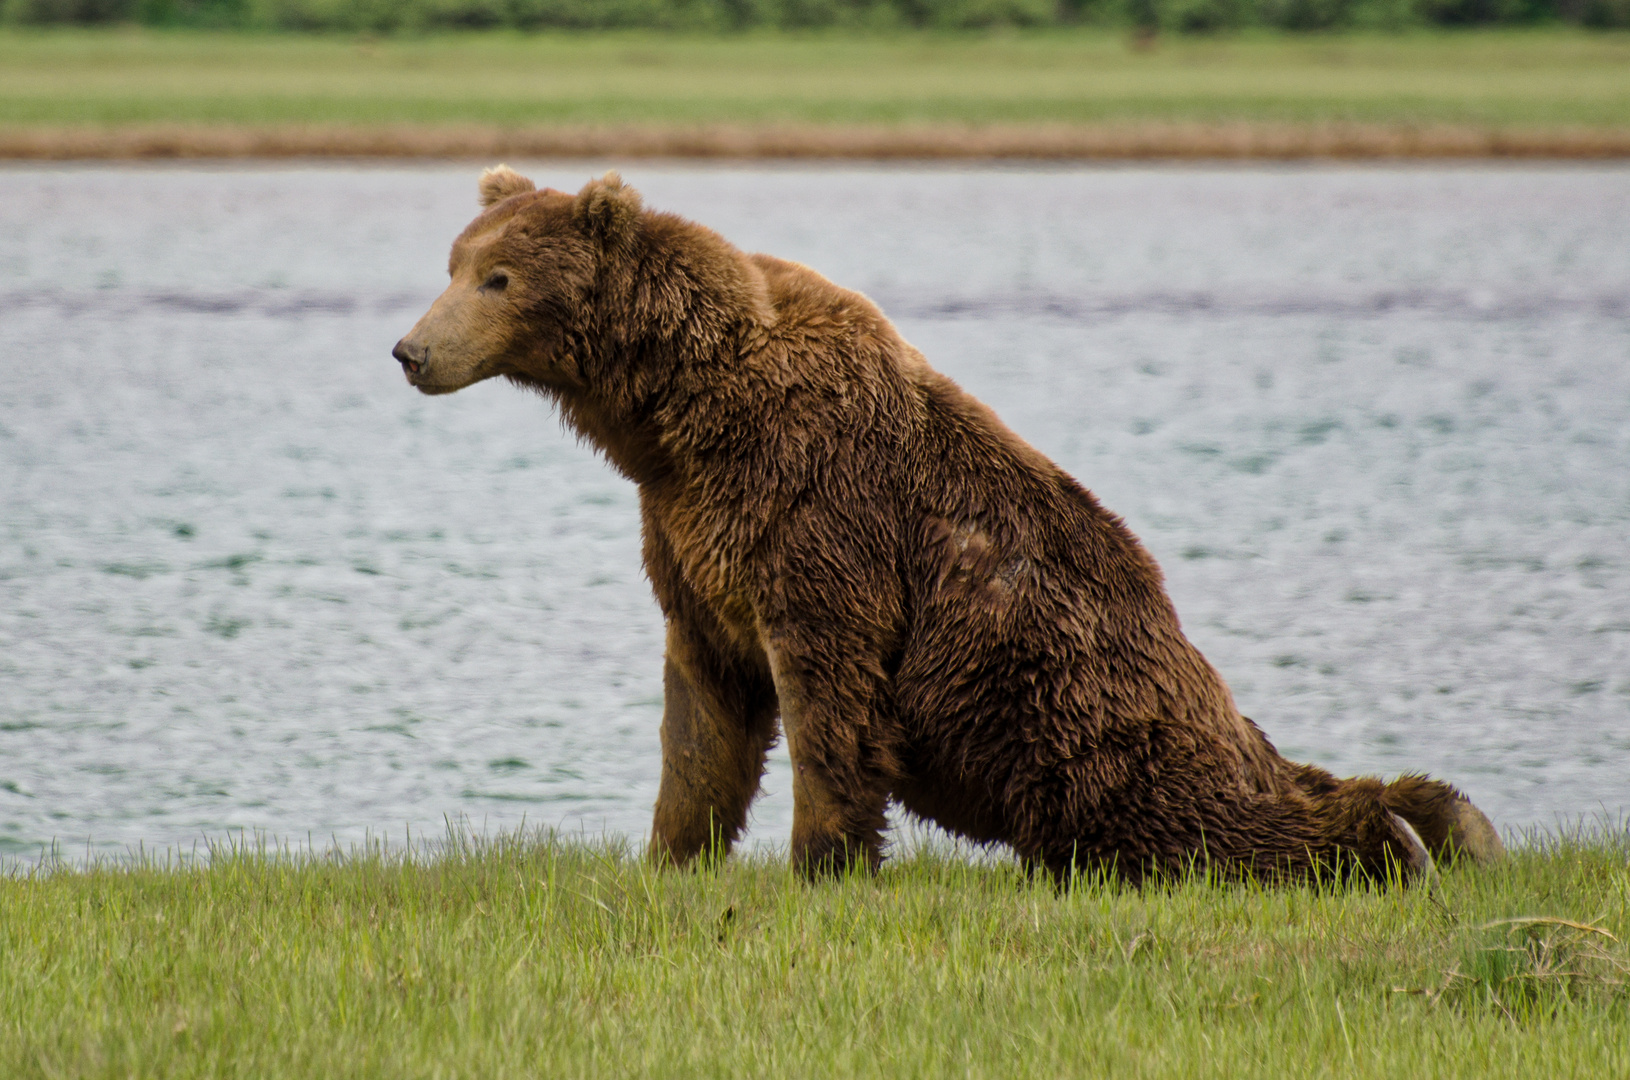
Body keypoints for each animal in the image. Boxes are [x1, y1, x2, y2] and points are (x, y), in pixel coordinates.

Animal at [391, 164, 1499, 886]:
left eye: (497, 278)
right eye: (452, 262)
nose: (411, 349)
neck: (677, 417)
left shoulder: (817, 512)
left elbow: (827, 696)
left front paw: (822, 862)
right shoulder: (689, 536)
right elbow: (702, 710)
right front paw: (669, 854)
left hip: (1085, 724)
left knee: (1204, 825)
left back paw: (1393, 842)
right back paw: (1445, 815)